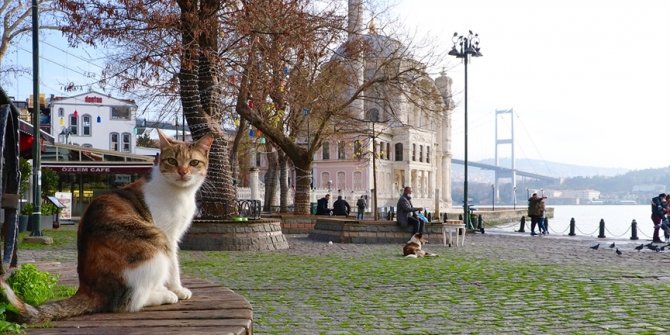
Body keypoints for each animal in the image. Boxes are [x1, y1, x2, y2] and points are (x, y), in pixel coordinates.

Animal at [0, 130, 214, 324]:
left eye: (193, 163)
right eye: (172, 161)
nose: (182, 172)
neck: (180, 194)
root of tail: (87, 289)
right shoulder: (169, 236)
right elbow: (174, 266)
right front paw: (177, 289)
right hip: (155, 240)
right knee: (129, 302)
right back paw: (165, 295)